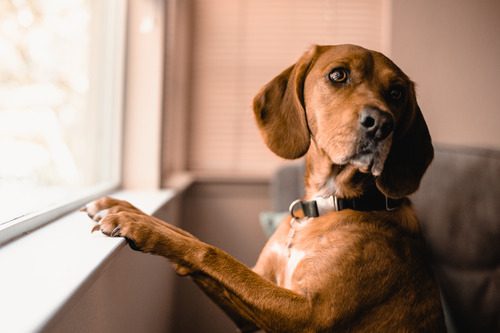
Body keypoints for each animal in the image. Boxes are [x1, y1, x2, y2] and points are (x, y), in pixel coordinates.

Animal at [85, 44, 446, 332]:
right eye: (338, 75)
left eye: (397, 93)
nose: (382, 124)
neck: (325, 205)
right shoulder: (258, 295)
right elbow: (191, 237)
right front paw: (127, 209)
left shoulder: (308, 314)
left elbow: (212, 253)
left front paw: (138, 225)